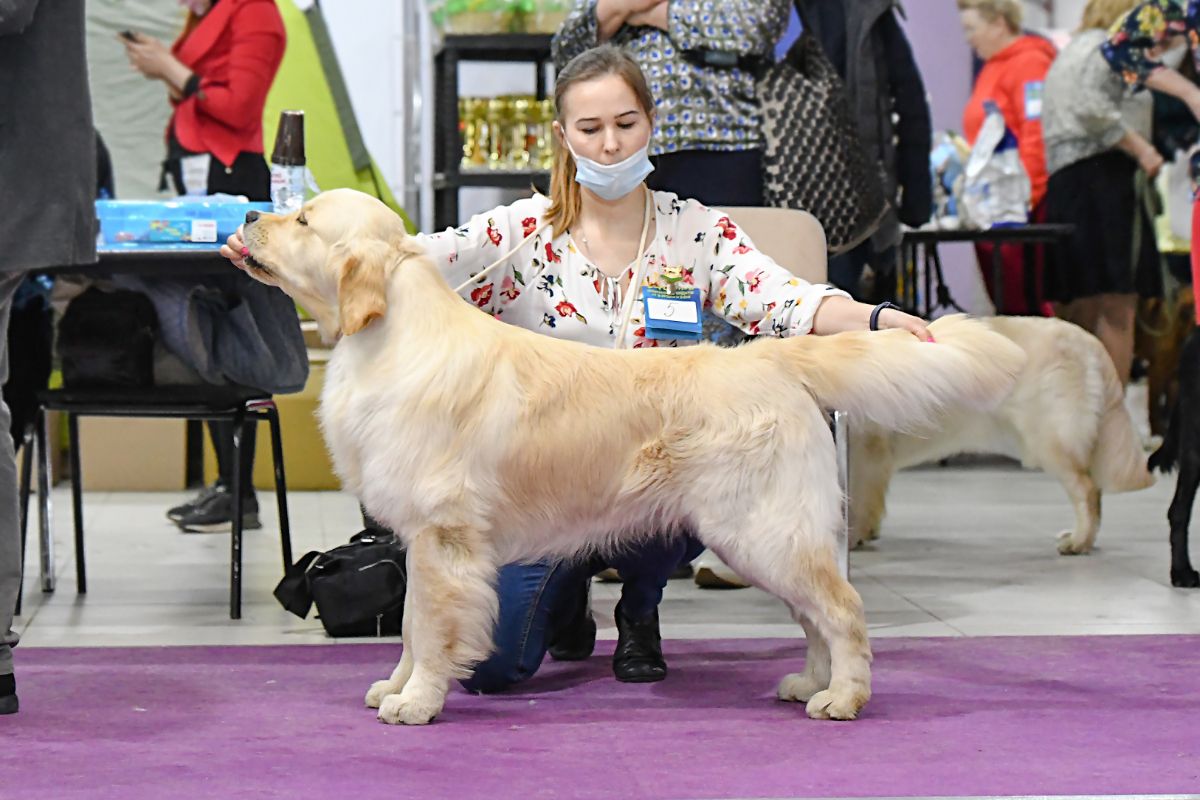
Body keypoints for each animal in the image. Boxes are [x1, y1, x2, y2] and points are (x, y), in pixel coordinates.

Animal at [241, 189, 1022, 724]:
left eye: (304, 221)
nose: (247, 217)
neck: (394, 335)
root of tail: (770, 357)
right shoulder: (422, 540)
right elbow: (406, 627)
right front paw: (395, 686)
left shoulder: (444, 538)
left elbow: (430, 629)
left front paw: (419, 701)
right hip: (769, 534)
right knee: (814, 614)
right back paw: (812, 682)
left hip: (761, 530)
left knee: (843, 607)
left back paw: (845, 696)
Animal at [849, 314, 1156, 556]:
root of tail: (1087, 340)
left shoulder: (867, 452)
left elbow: (860, 501)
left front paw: (854, 537)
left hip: (1050, 441)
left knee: (1087, 490)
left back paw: (1078, 542)